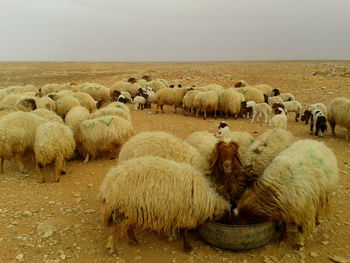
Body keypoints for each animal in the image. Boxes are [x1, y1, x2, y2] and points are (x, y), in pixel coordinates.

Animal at [98, 157, 230, 254]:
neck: (207, 199)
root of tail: (107, 185)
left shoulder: (174, 211)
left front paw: (171, 236)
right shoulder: (185, 213)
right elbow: (185, 231)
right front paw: (188, 247)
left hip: (128, 211)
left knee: (127, 227)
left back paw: (133, 240)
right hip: (123, 209)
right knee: (118, 229)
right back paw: (117, 245)